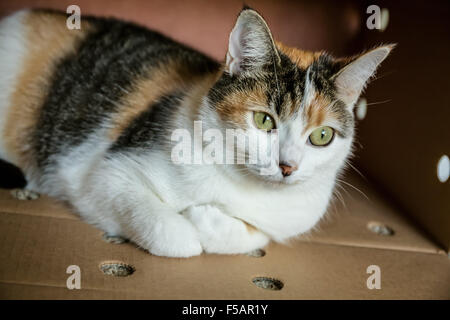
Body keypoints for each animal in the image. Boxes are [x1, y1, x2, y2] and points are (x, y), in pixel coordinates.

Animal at [0, 7, 394, 258]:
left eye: (321, 136)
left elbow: (254, 235)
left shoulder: (293, 217)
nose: (288, 167)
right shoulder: (98, 175)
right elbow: (177, 238)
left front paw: (205, 217)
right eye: (264, 121)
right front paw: (191, 220)